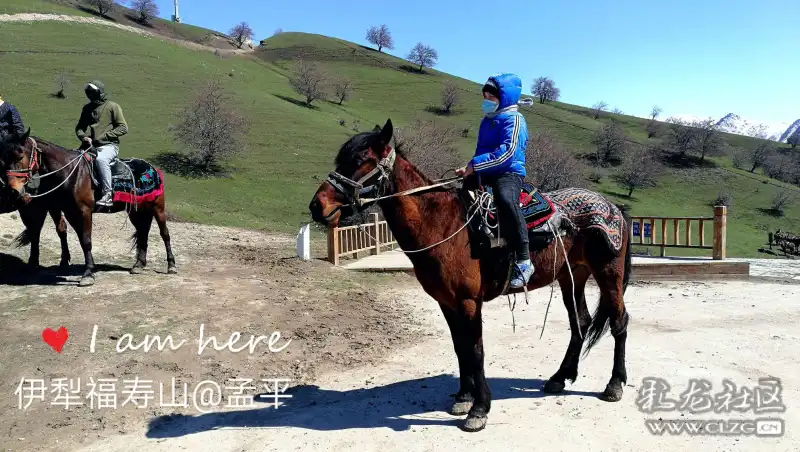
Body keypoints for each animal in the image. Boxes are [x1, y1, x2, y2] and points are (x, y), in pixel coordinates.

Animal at [0, 129, 176, 286]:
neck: (71, 173)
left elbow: (86, 240)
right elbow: (78, 239)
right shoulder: (70, 212)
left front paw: (88, 274)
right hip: (136, 211)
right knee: (143, 231)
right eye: (4, 159)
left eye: (20, 156)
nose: (13, 191)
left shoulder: (84, 212)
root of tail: (152, 168)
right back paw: (139, 265)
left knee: (164, 234)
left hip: (158, 209)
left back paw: (171, 266)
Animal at [310, 121, 636, 434]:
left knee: (619, 322)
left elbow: (476, 350)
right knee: (580, 321)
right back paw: (560, 377)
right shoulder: (446, 302)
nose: (317, 206)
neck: (441, 224)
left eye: (360, 159)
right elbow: (460, 347)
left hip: (608, 274)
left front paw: (479, 410)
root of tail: (614, 208)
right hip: (573, 276)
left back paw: (614, 384)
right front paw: (464, 397)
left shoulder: (468, 301)